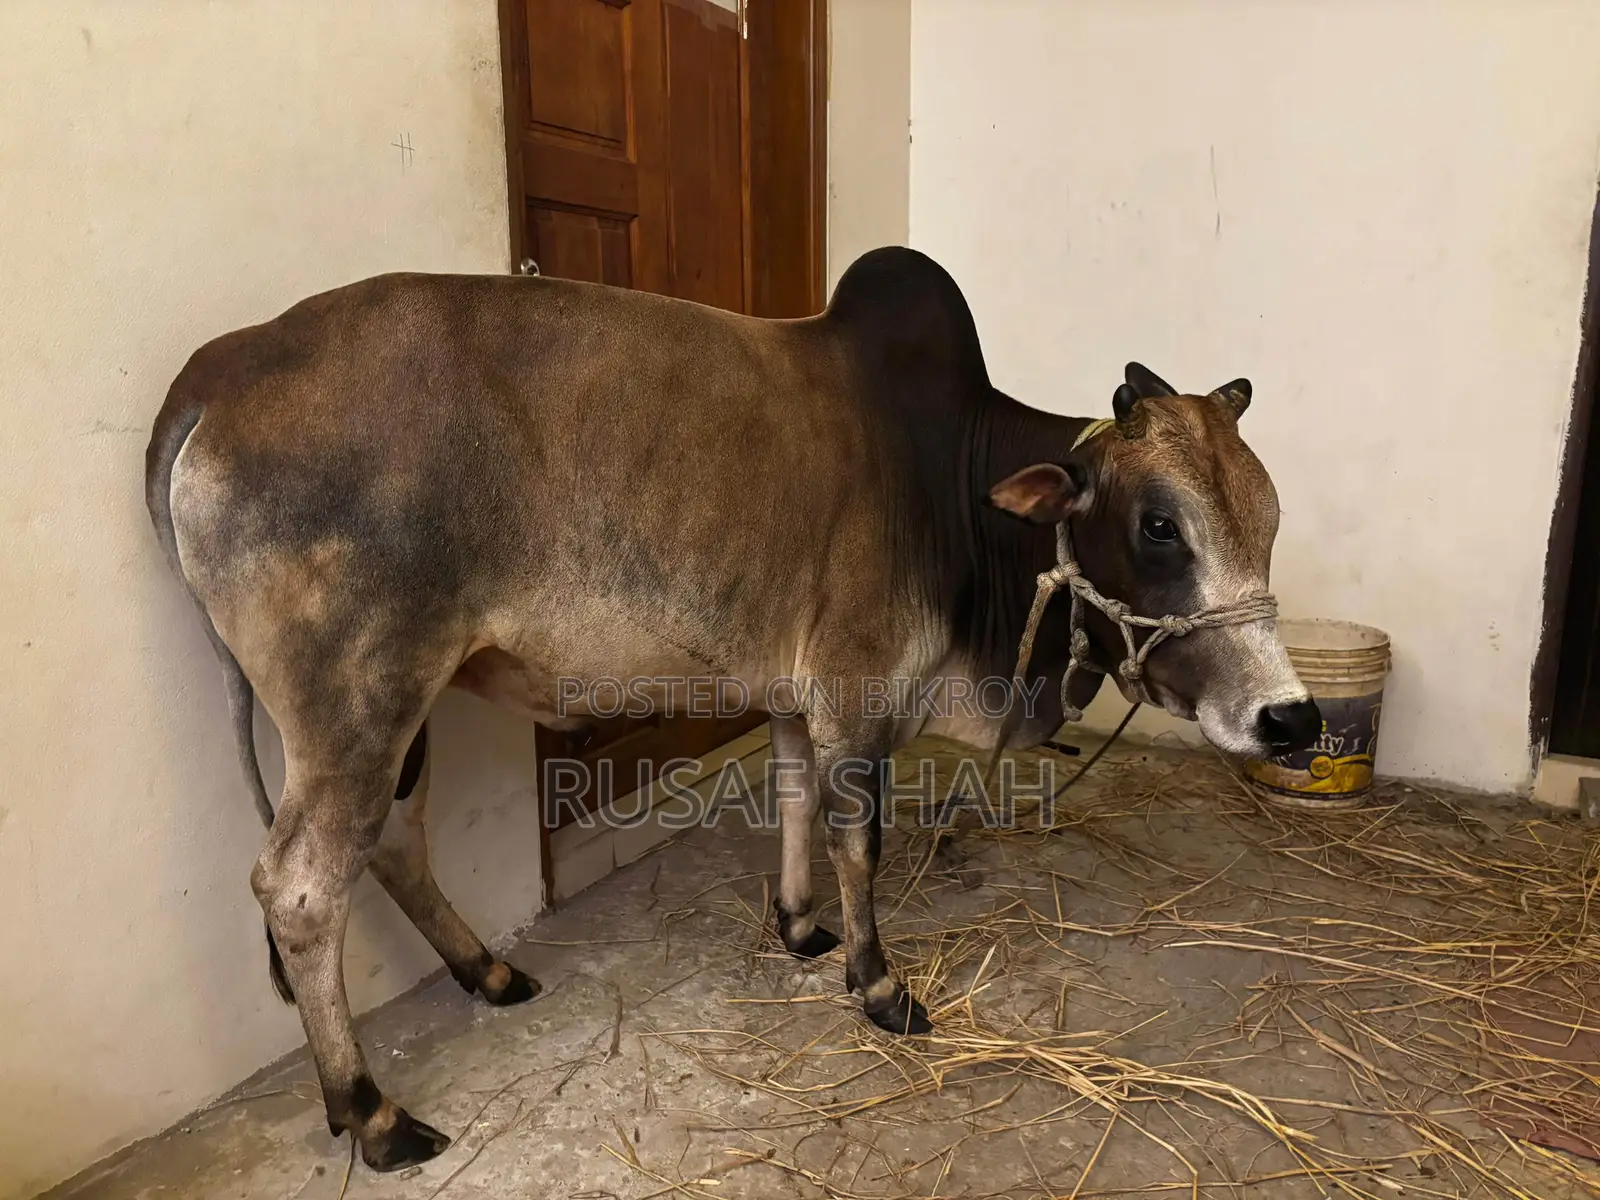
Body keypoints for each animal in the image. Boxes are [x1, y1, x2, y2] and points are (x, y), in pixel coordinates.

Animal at [145, 247, 1319, 1172]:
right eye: (1160, 525)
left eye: (1268, 517)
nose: (1291, 720)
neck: (951, 483)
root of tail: (218, 369)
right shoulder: (855, 695)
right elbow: (859, 841)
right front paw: (876, 985)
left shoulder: (801, 700)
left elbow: (795, 804)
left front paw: (798, 927)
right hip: (359, 700)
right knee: (299, 890)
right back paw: (372, 1112)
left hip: (400, 707)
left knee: (389, 842)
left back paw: (487, 971)